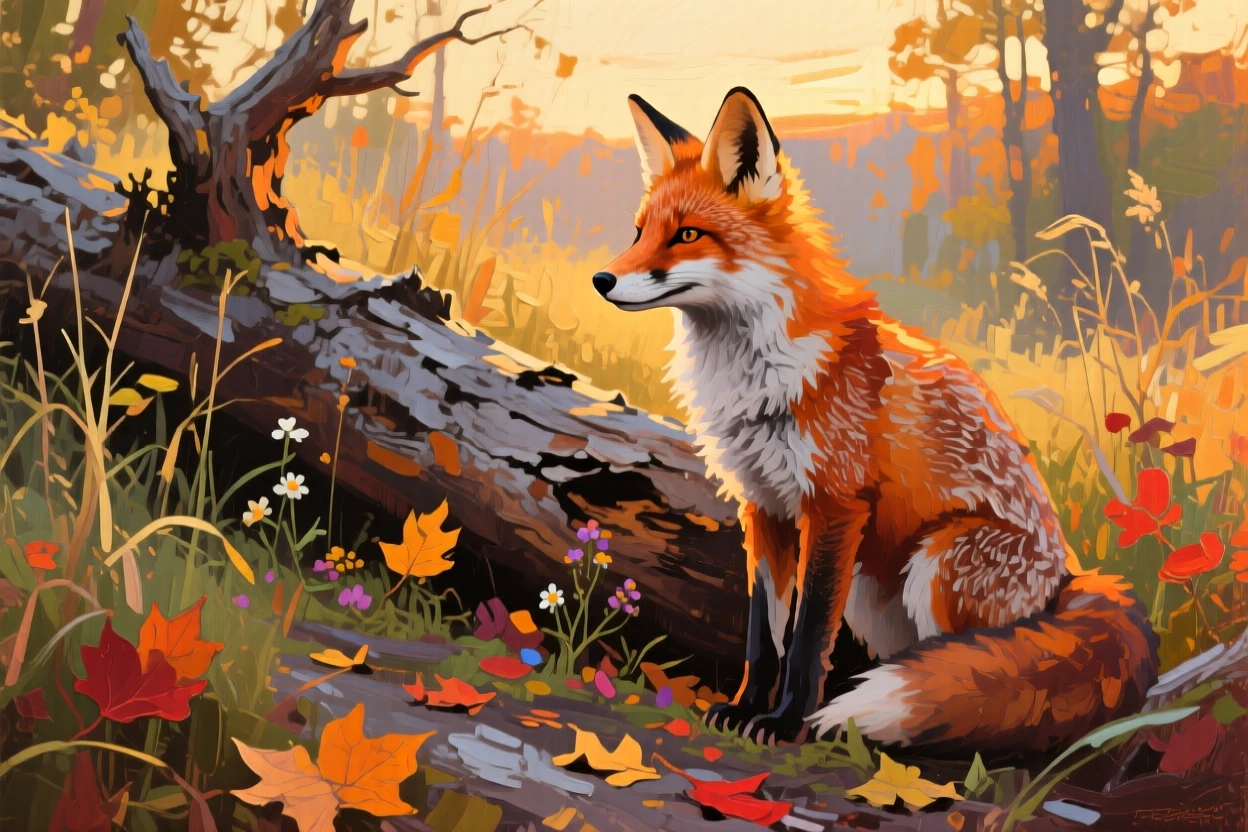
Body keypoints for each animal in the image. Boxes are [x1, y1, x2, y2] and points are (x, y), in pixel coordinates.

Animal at [591, 87, 1159, 753]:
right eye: (639, 232)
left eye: (686, 234)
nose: (602, 278)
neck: (761, 377)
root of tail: (1068, 579)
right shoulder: (763, 506)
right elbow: (765, 635)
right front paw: (745, 708)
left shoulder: (835, 504)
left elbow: (806, 637)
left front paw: (784, 723)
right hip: (873, 589)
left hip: (938, 560)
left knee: (978, 670)